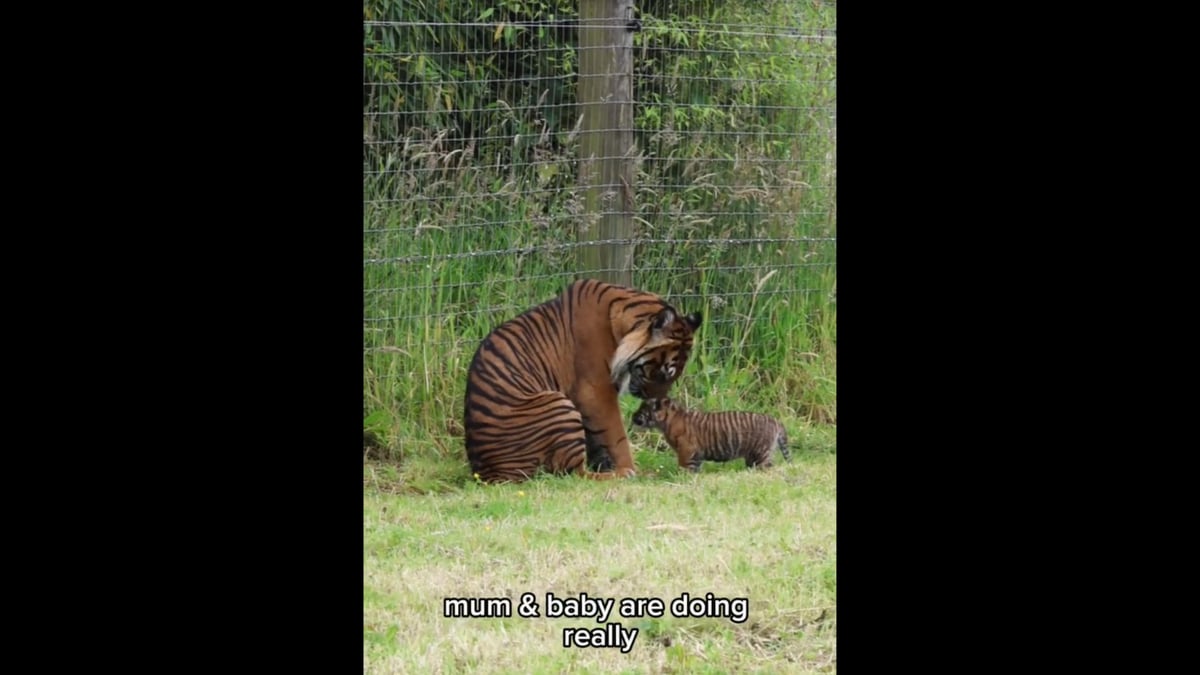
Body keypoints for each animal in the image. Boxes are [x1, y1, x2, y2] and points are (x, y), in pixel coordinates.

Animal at [460, 278, 700, 482]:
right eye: (664, 372)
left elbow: (597, 439)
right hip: (557, 403)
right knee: (575, 473)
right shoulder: (596, 390)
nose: (656, 404)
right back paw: (621, 475)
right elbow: (617, 437)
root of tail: (490, 473)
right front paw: (629, 468)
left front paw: (606, 464)